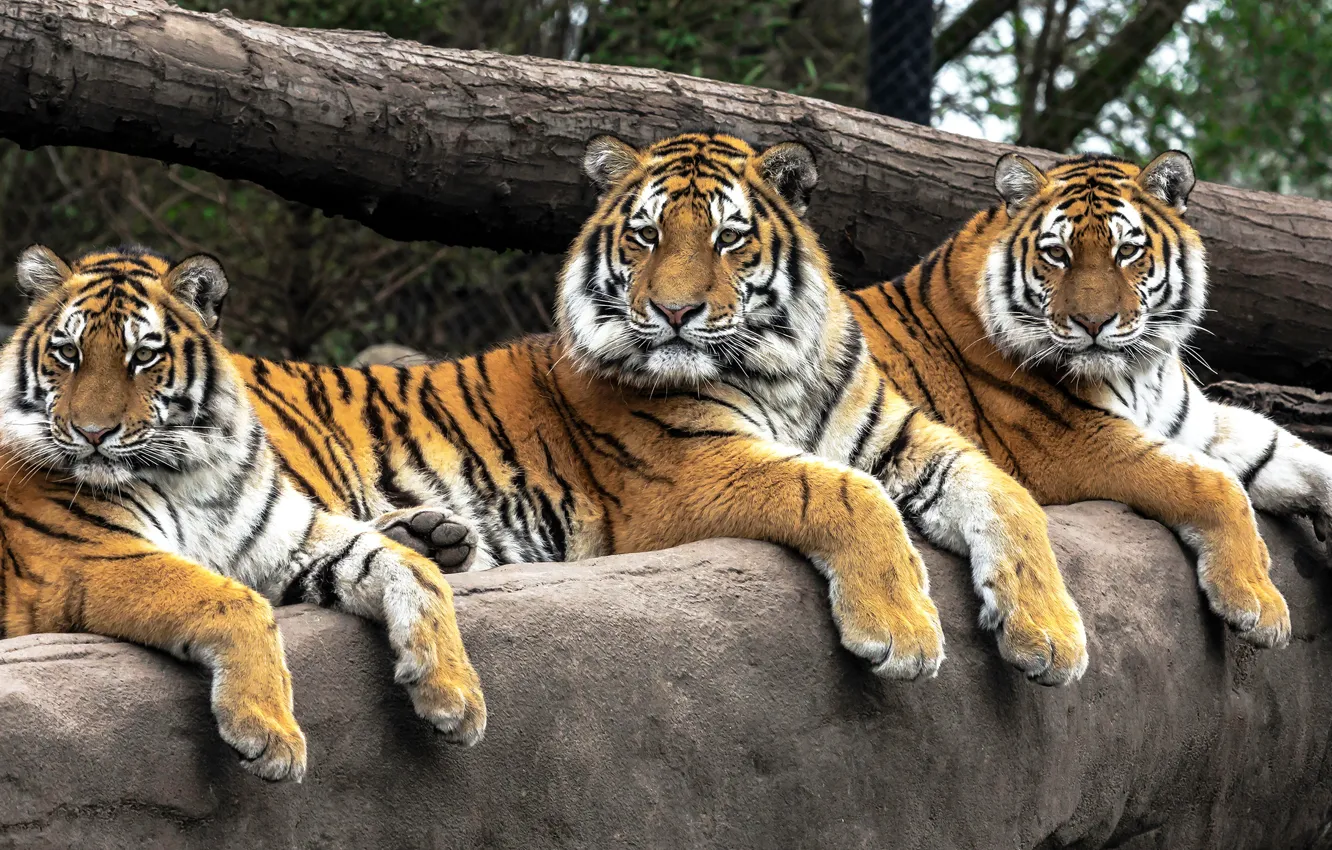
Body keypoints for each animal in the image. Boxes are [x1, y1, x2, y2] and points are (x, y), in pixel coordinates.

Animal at [0, 247, 488, 782]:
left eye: (144, 356)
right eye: (68, 353)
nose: (91, 433)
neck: (189, 472)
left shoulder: (285, 537)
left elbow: (408, 570)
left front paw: (456, 692)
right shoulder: (92, 557)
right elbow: (234, 602)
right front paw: (269, 731)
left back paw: (434, 535)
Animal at [557, 132, 1090, 685]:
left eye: (728, 238)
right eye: (646, 235)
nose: (674, 311)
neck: (780, 371)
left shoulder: (898, 435)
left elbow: (1007, 494)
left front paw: (1053, 635)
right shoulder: (690, 470)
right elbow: (843, 491)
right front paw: (903, 630)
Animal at [839, 150, 1306, 648]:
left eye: (1127, 251)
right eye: (1057, 254)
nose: (1093, 322)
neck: (1143, 370)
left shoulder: (1192, 421)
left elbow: (1291, 453)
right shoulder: (1075, 445)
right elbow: (1217, 483)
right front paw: (1258, 602)